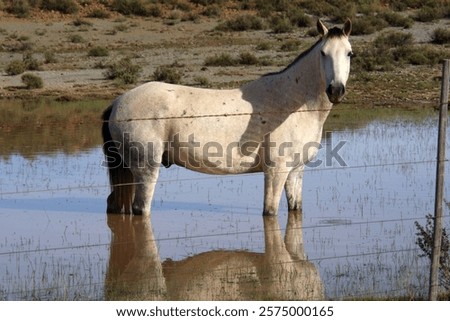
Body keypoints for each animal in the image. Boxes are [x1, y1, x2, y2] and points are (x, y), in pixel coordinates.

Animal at [102, 19, 352, 215]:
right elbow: (270, 212)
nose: (336, 90)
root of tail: (118, 102)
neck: (294, 104)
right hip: (146, 169)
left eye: (349, 53)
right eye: (323, 53)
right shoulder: (275, 172)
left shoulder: (295, 171)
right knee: (140, 209)